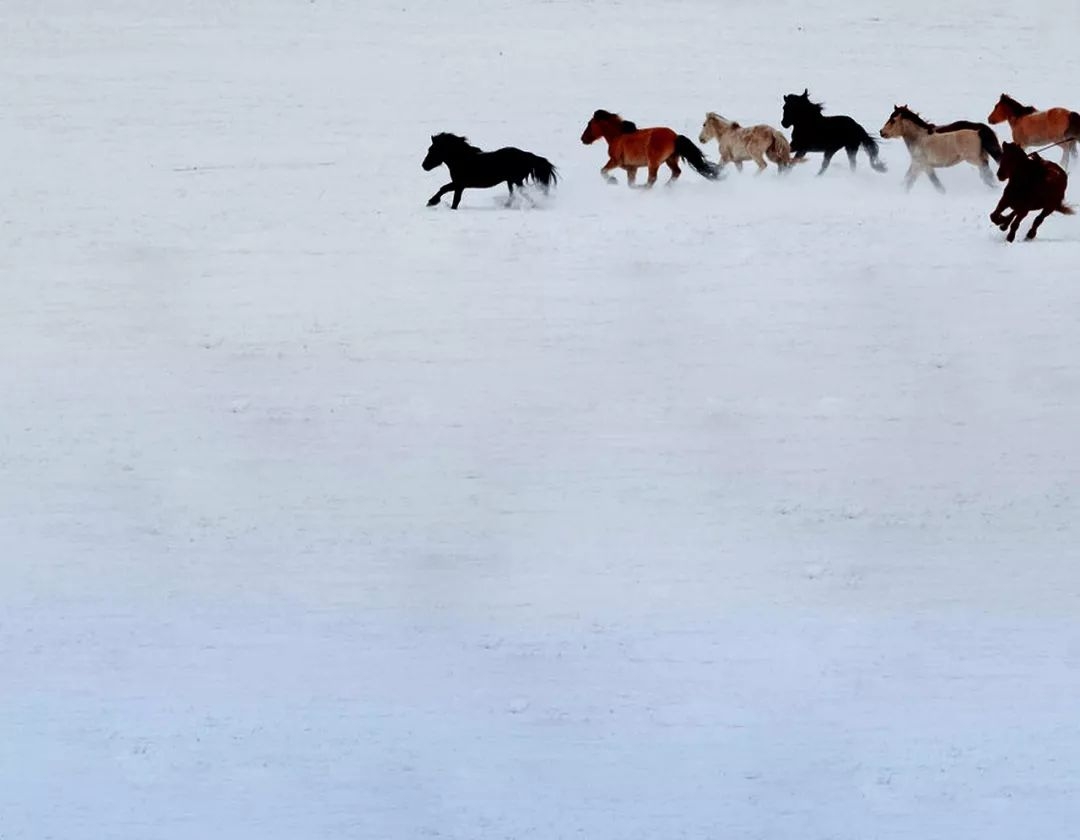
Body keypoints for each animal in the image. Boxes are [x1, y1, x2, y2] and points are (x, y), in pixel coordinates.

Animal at [421, 133, 557, 208]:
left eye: (433, 150)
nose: (424, 166)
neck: (462, 160)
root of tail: (526, 155)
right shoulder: (459, 185)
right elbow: (447, 191)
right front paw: (432, 202)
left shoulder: (460, 184)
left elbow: (449, 193)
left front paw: (432, 202)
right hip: (511, 181)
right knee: (514, 194)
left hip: (516, 180)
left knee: (522, 194)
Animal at [578, 109, 721, 186]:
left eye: (589, 124)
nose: (583, 139)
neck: (618, 136)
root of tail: (675, 136)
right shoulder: (632, 168)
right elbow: (630, 183)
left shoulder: (615, 161)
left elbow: (603, 171)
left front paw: (613, 181)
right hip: (670, 160)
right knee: (676, 172)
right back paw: (666, 187)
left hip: (653, 163)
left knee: (652, 179)